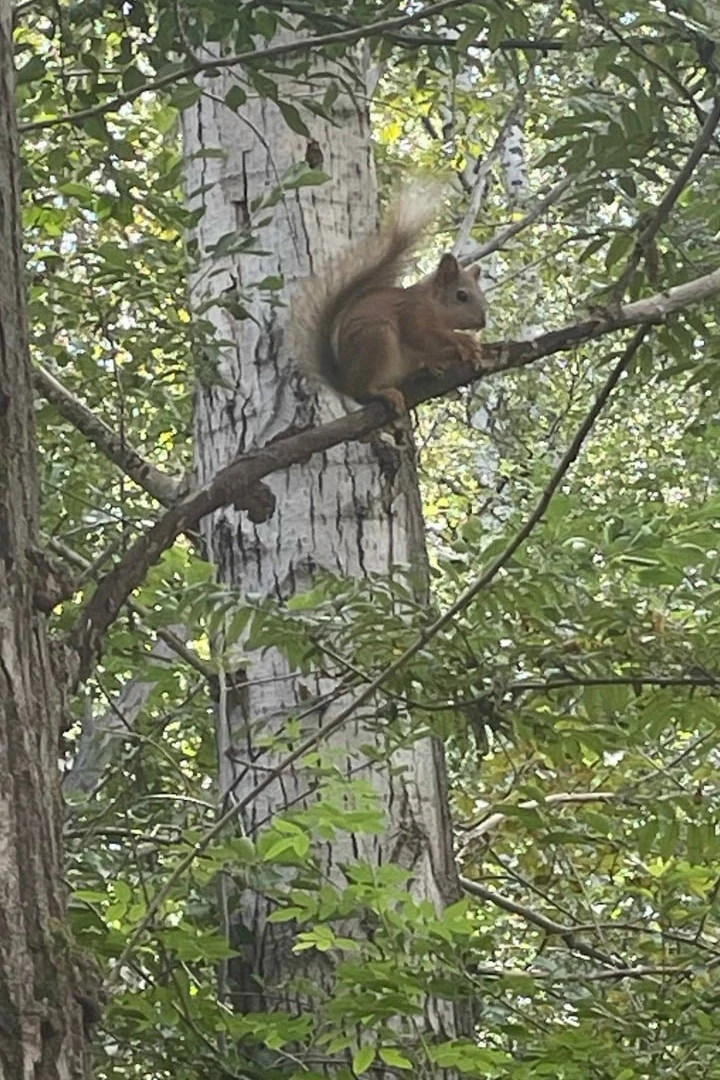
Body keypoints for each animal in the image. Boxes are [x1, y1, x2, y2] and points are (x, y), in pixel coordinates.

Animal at [295, 186, 487, 415]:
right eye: (461, 296)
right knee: (363, 392)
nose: (483, 322)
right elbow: (421, 335)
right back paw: (385, 393)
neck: (435, 307)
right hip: (377, 338)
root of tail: (345, 383)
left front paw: (466, 353)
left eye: (481, 294)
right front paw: (463, 340)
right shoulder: (413, 312)